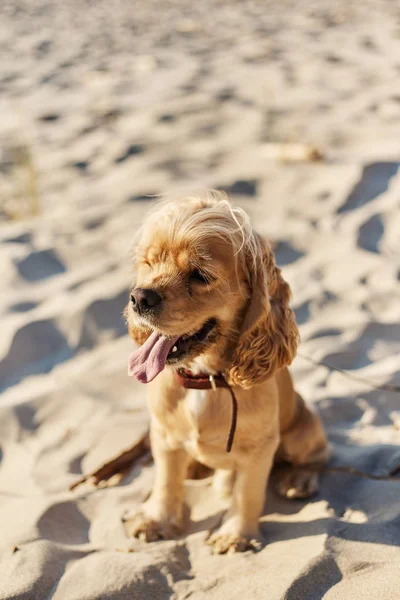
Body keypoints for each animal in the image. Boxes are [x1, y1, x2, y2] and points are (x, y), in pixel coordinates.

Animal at [123, 192, 330, 552]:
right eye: (149, 263)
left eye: (199, 274)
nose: (139, 297)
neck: (204, 379)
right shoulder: (163, 435)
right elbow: (166, 481)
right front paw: (156, 520)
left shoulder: (260, 447)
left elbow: (247, 493)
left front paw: (236, 535)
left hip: (303, 429)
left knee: (320, 454)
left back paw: (299, 479)